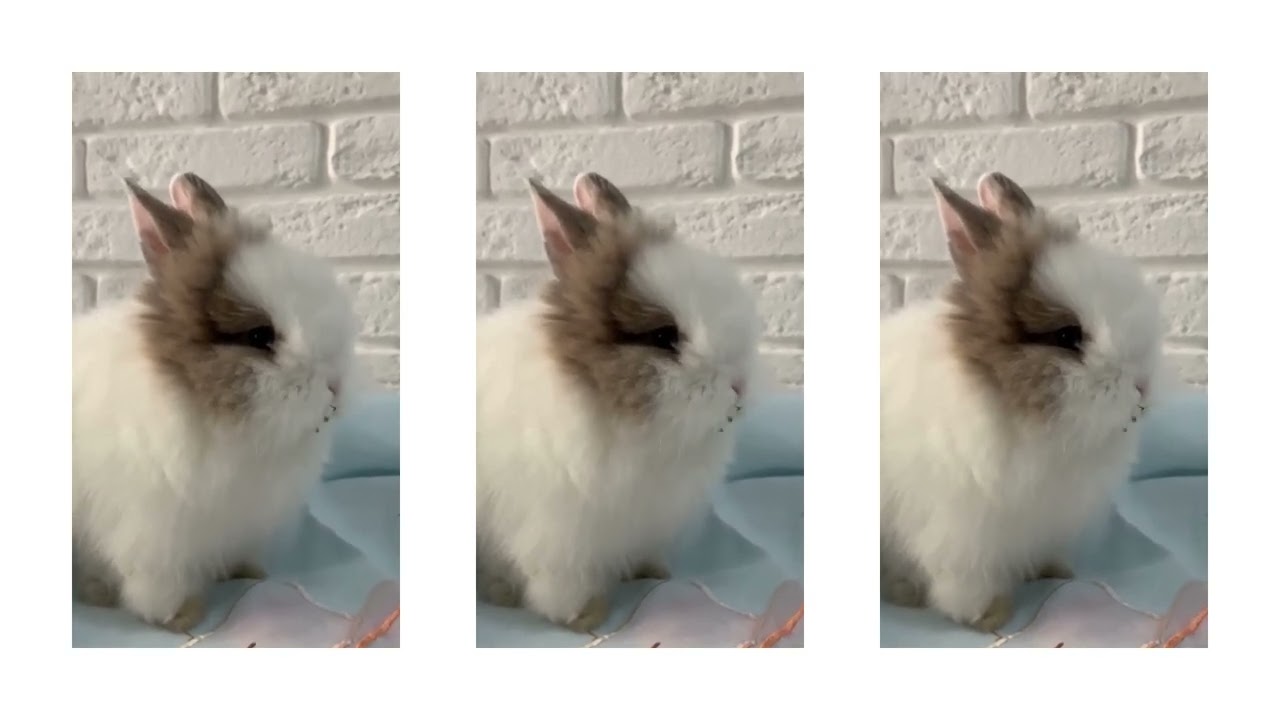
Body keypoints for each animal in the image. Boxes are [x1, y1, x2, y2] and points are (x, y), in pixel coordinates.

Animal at [72, 172, 359, 633]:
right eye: (260, 336)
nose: (336, 385)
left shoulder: (236, 523)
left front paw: (248, 572)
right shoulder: (153, 535)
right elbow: (156, 586)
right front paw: (182, 616)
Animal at [476, 172, 763, 632]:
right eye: (664, 336)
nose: (740, 385)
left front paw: (653, 572)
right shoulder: (557, 535)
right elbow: (561, 584)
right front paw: (585, 616)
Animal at [880, 172, 1177, 633]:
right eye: (1067, 336)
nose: (1143, 386)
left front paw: (1055, 571)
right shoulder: (960, 533)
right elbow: (964, 583)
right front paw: (989, 616)